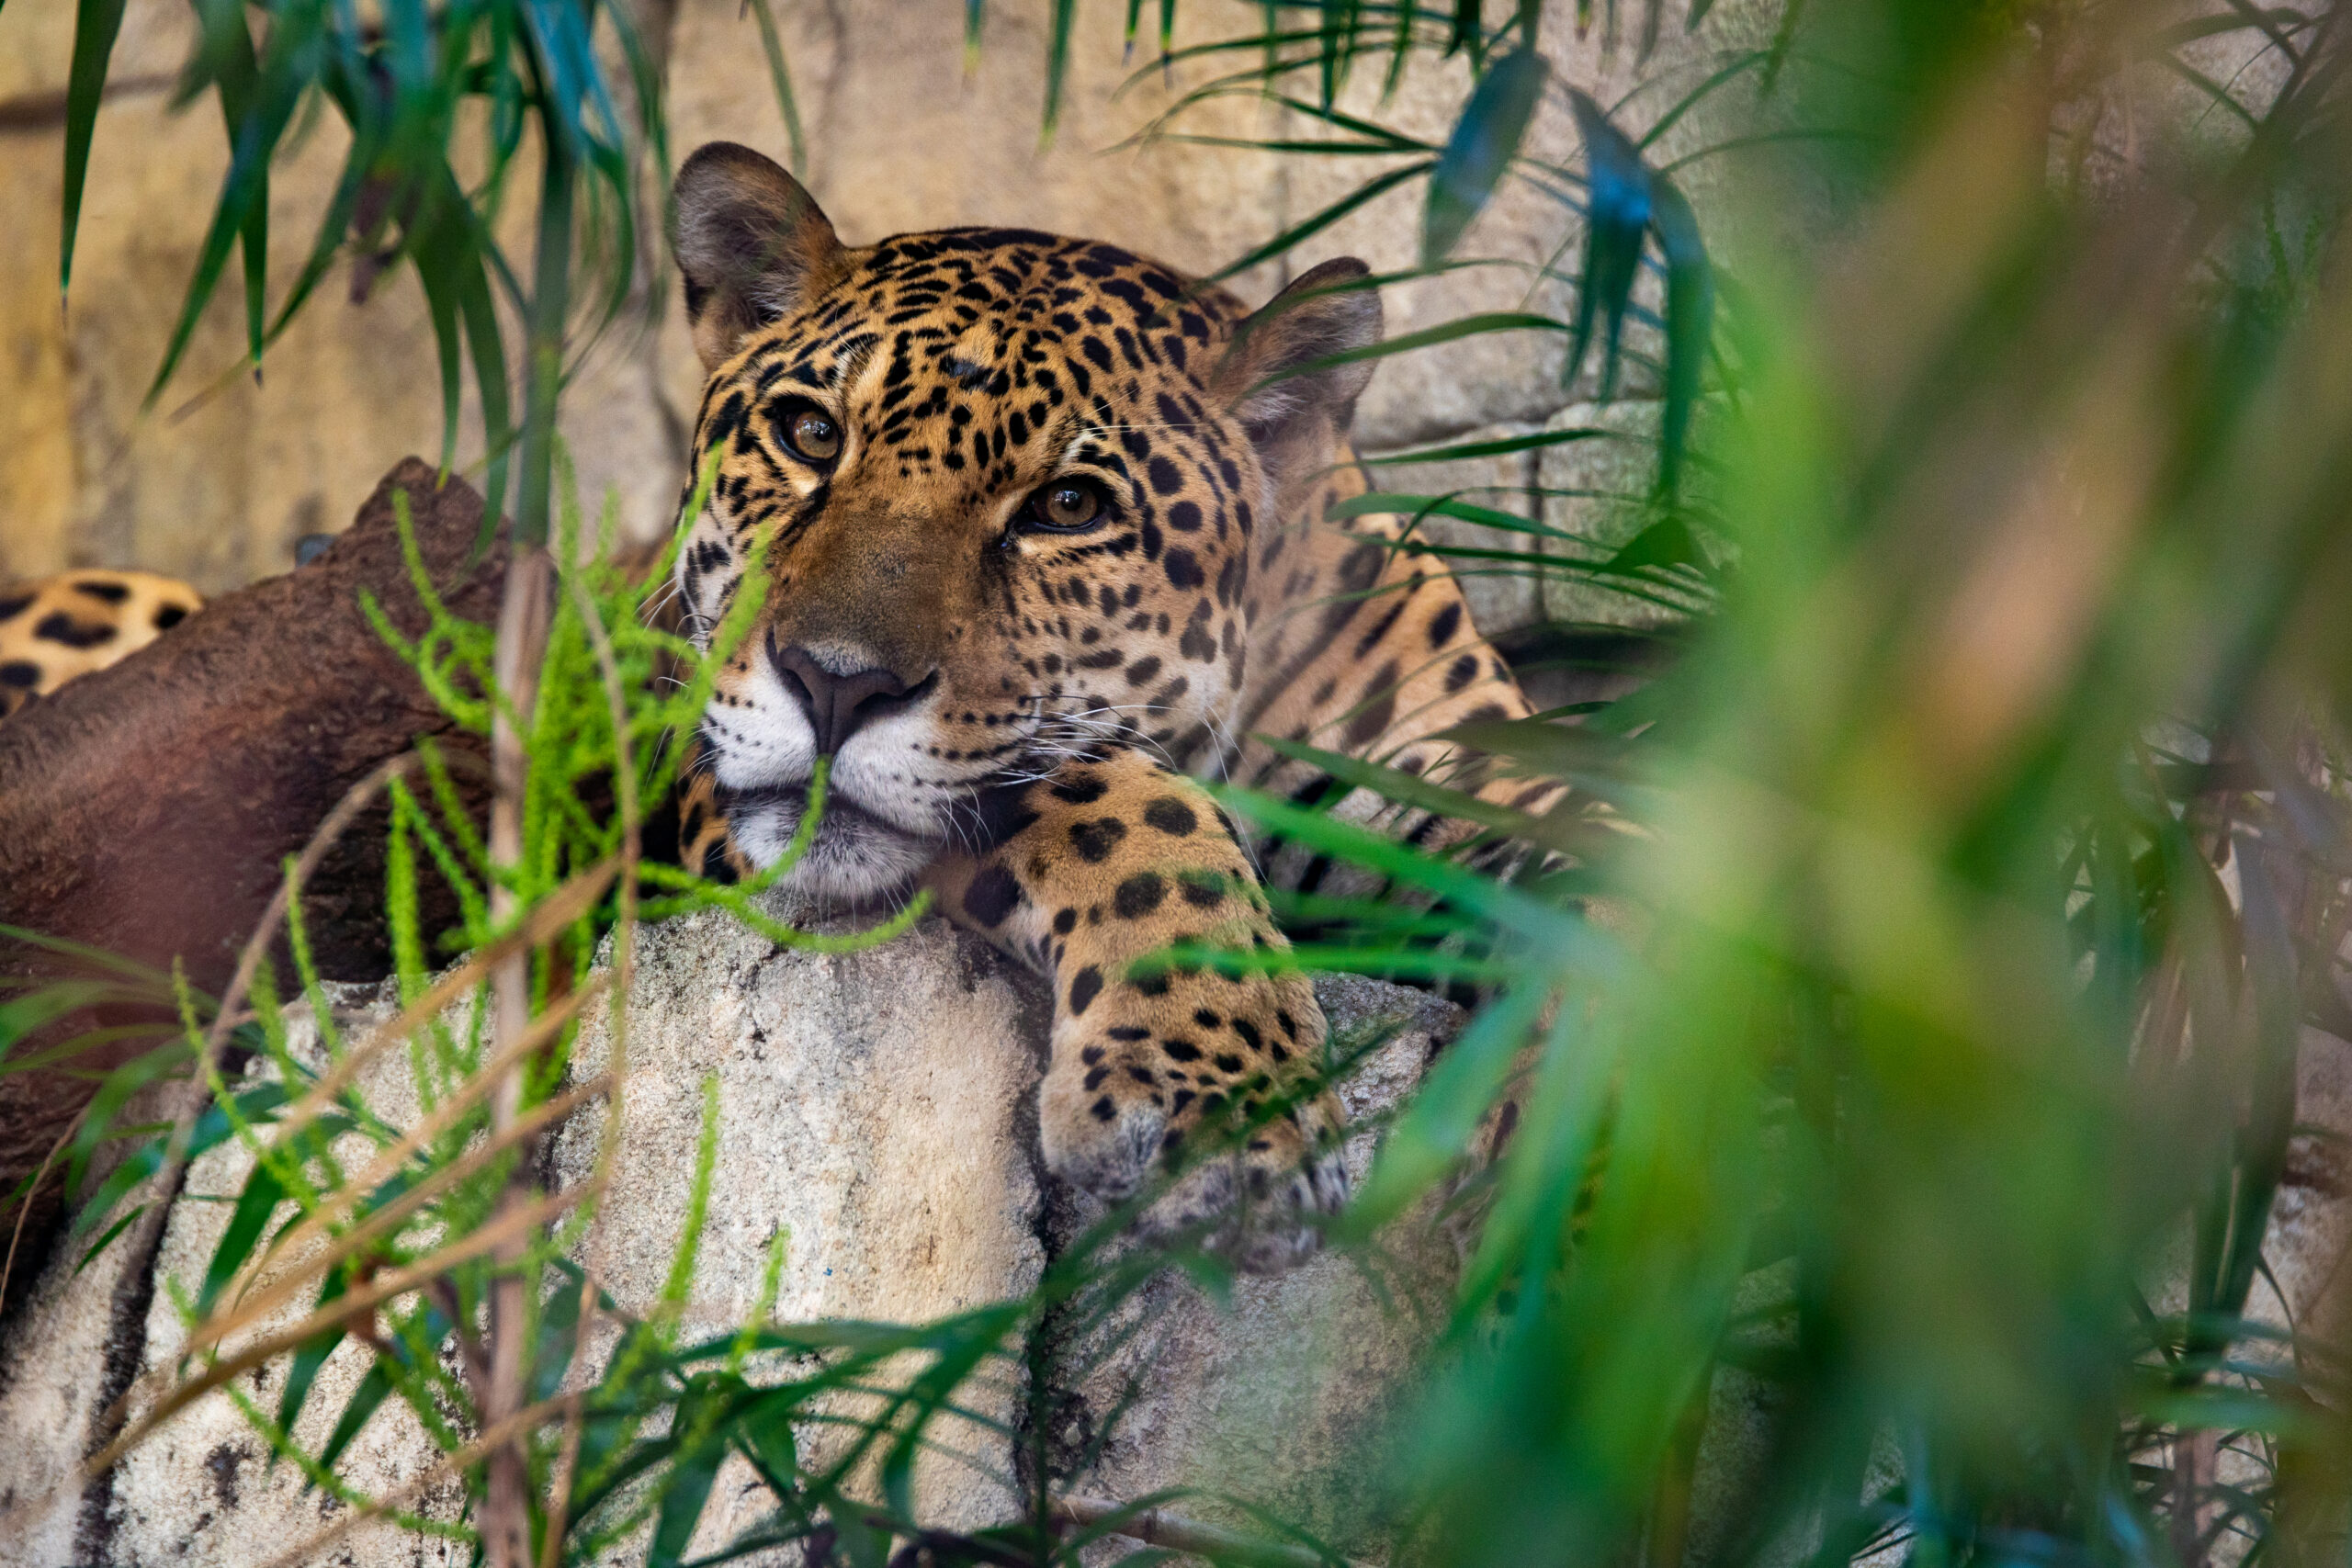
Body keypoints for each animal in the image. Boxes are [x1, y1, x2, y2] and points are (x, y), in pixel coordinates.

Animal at [663, 141, 1567, 1272]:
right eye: (811, 433)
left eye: (1068, 506)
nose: (835, 681)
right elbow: (1132, 799)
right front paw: (1226, 1112)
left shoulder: (1463, 782)